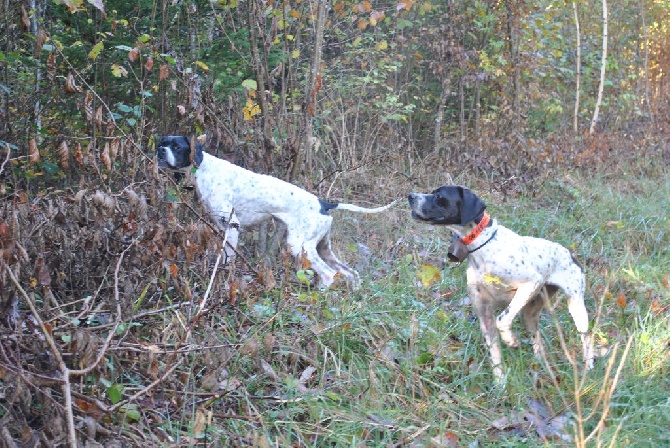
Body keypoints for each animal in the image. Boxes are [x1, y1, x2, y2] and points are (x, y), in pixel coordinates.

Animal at [158, 135, 400, 288]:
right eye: (162, 143)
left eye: (177, 146)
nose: (160, 150)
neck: (204, 168)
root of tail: (323, 203)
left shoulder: (232, 226)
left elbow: (227, 260)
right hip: (323, 248)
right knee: (352, 274)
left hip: (300, 246)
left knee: (329, 276)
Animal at [406, 184, 596, 380]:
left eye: (439, 196)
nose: (410, 196)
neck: (483, 245)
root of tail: (571, 254)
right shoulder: (484, 316)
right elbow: (495, 357)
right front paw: (500, 384)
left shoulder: (530, 283)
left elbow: (502, 319)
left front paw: (511, 340)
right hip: (529, 315)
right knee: (538, 341)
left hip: (576, 307)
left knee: (587, 338)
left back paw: (588, 367)